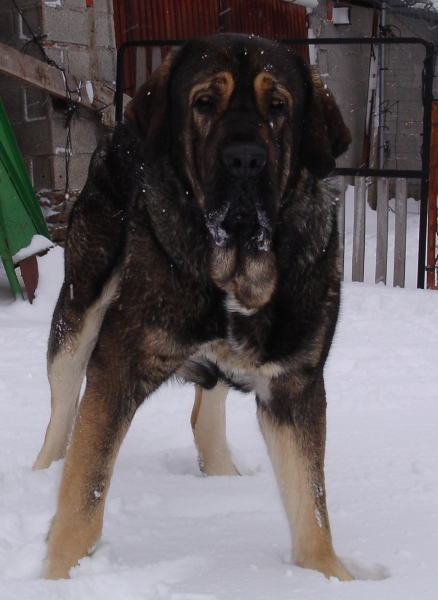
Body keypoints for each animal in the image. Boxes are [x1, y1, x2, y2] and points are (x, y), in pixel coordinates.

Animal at [34, 34, 352, 580]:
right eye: (204, 103)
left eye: (278, 107)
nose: (245, 159)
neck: (234, 266)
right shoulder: (120, 361)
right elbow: (83, 491)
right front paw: (57, 577)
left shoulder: (295, 385)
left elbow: (311, 507)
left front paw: (331, 577)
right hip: (80, 308)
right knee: (61, 413)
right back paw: (39, 475)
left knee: (206, 412)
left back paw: (224, 478)